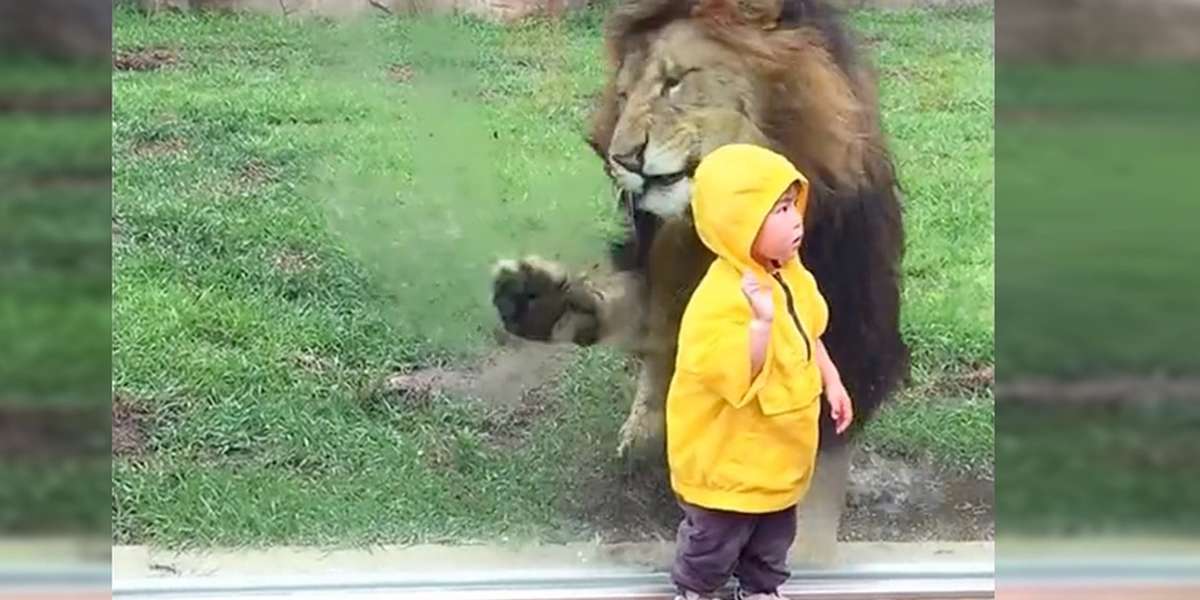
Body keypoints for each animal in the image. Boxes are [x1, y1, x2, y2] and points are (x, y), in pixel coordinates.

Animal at [491, 0, 908, 557]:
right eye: (623, 95)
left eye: (674, 82)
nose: (621, 159)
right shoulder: (665, 274)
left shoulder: (848, 334)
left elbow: (816, 472)